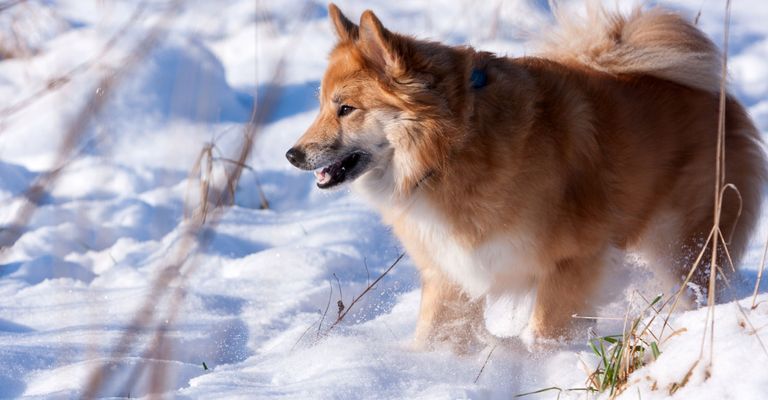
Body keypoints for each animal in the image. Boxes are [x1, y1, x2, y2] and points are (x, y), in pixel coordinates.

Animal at [288, 3, 768, 354]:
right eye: (321, 105)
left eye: (345, 108)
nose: (292, 155)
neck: (454, 145)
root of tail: (719, 98)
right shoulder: (451, 273)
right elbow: (434, 334)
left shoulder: (573, 261)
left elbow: (545, 334)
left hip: (683, 247)